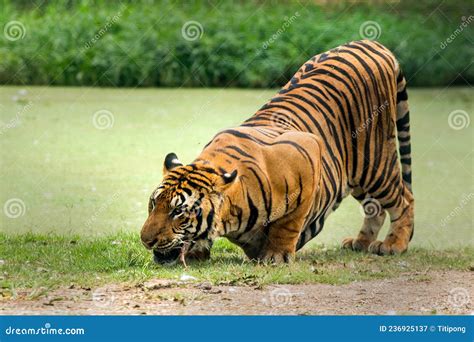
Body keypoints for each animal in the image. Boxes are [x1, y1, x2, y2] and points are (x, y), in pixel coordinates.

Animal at [139, 39, 412, 264]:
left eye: (177, 211)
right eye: (153, 204)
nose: (145, 240)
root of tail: (371, 43)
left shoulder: (307, 156)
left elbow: (288, 224)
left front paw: (276, 255)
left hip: (375, 164)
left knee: (404, 197)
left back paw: (393, 245)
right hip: (356, 176)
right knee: (375, 207)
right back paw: (361, 242)